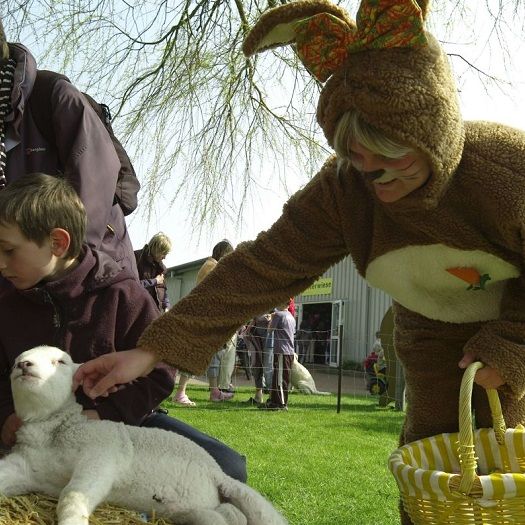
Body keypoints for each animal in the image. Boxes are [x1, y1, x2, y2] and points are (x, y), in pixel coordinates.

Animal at [0, 344, 286, 524]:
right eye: (14, 363)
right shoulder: (25, 466)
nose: (23, 364)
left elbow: (71, 495)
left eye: (61, 361)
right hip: (194, 510)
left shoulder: (100, 454)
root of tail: (217, 472)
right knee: (226, 515)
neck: (52, 432)